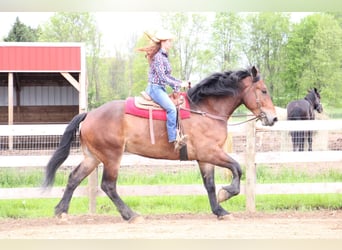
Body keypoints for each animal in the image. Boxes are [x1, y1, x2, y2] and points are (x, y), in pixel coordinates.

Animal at [42, 66, 278, 221]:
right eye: (264, 90)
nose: (274, 118)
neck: (205, 110)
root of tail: (89, 114)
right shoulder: (210, 152)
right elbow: (237, 168)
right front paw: (226, 193)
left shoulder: (204, 158)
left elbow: (210, 184)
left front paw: (219, 210)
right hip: (111, 157)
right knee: (108, 185)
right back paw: (130, 215)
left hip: (93, 157)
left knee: (74, 178)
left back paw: (61, 211)